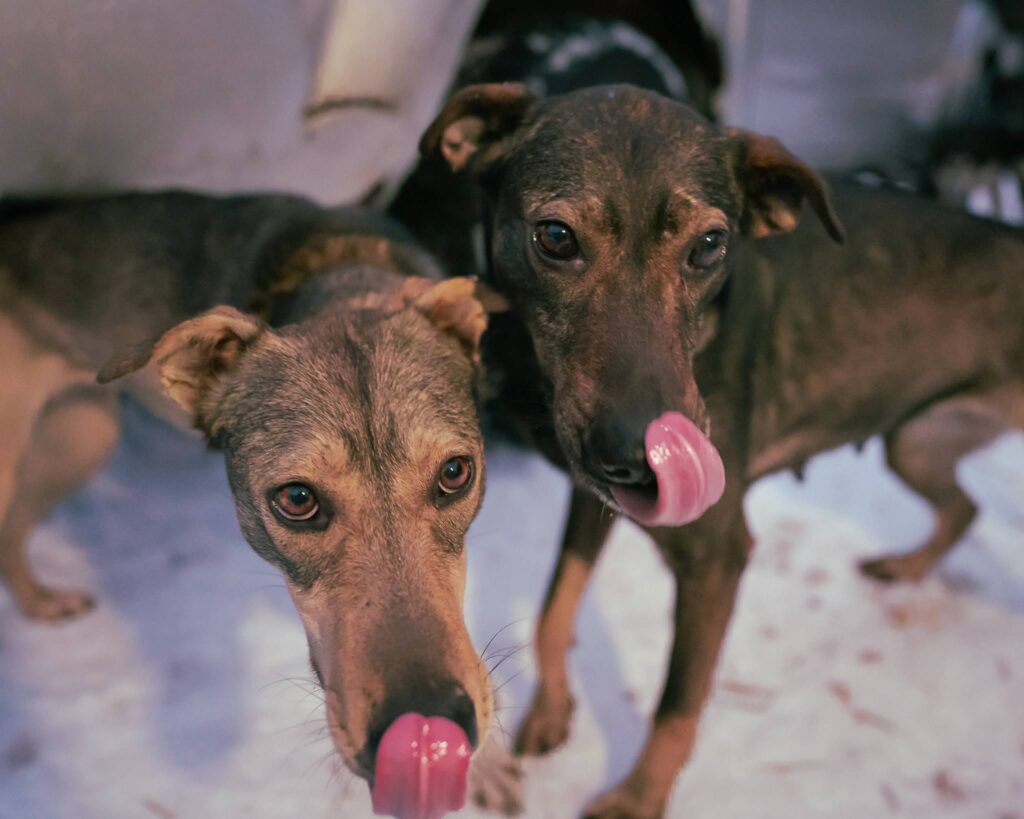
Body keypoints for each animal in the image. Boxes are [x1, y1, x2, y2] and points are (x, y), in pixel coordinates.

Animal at [405, 84, 1024, 818]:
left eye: (709, 245)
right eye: (555, 237)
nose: (640, 458)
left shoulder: (717, 557)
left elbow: (677, 706)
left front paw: (635, 803)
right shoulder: (594, 496)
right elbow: (555, 610)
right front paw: (553, 709)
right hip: (916, 442)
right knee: (963, 507)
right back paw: (905, 566)